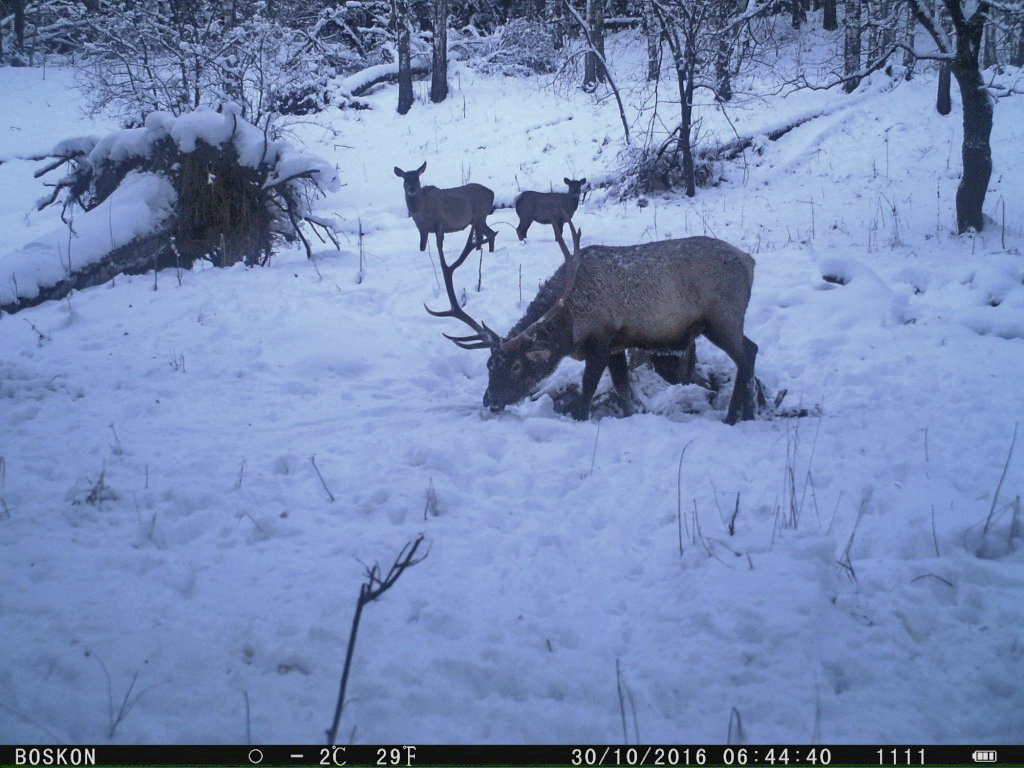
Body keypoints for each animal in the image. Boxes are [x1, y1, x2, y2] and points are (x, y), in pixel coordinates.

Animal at [425, 222, 761, 428]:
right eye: (489, 365)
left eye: (517, 366)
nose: (490, 400)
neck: (570, 328)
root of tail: (749, 260)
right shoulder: (617, 346)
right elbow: (624, 391)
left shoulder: (602, 339)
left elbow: (588, 388)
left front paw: (582, 418)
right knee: (752, 350)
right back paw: (748, 413)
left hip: (723, 317)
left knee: (747, 354)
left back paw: (734, 417)